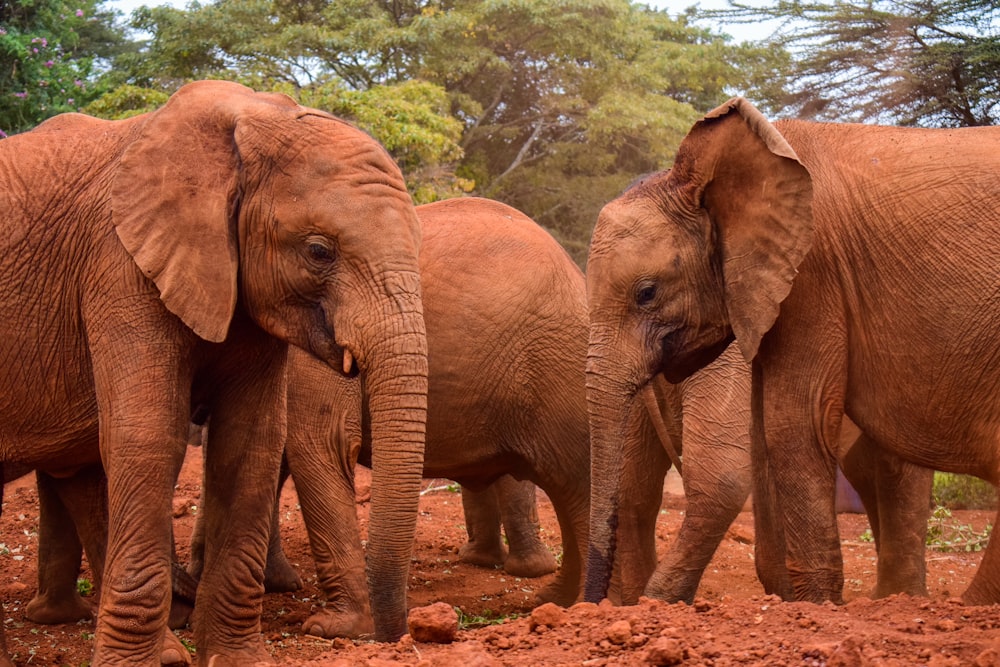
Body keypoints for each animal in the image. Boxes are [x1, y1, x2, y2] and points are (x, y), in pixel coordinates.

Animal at [0, 77, 426, 664]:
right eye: (319, 251)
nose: (391, 638)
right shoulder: (119, 266)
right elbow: (146, 438)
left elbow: (252, 443)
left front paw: (235, 658)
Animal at [584, 95, 996, 612]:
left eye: (646, 293)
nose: (589, 604)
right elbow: (758, 437)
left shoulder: (812, 272)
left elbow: (784, 428)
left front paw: (814, 606)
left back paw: (939, 602)